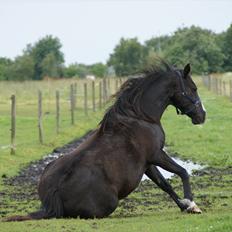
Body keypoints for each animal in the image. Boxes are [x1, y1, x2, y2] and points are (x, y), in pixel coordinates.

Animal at [5, 61, 205, 221]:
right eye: (193, 88)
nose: (202, 116)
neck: (140, 117)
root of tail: (52, 197)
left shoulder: (148, 163)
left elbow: (165, 184)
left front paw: (185, 206)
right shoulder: (156, 154)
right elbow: (183, 172)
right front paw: (192, 204)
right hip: (109, 204)